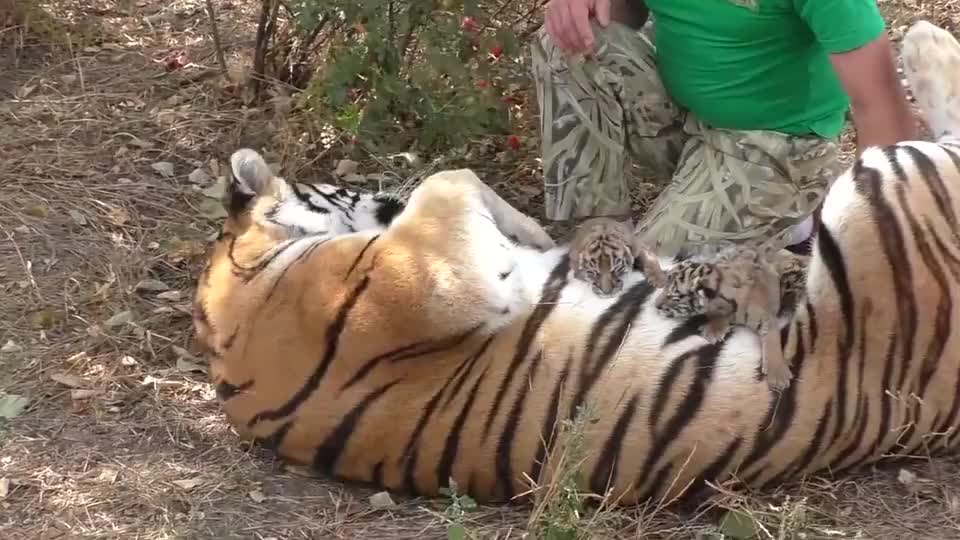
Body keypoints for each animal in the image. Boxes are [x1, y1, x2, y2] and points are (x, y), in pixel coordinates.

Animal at [193, 20, 960, 508]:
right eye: (347, 188)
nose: (384, 194)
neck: (240, 285)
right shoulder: (435, 277)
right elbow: (451, 175)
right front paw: (536, 235)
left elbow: (455, 181)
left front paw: (538, 236)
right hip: (889, 181)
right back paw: (926, 37)